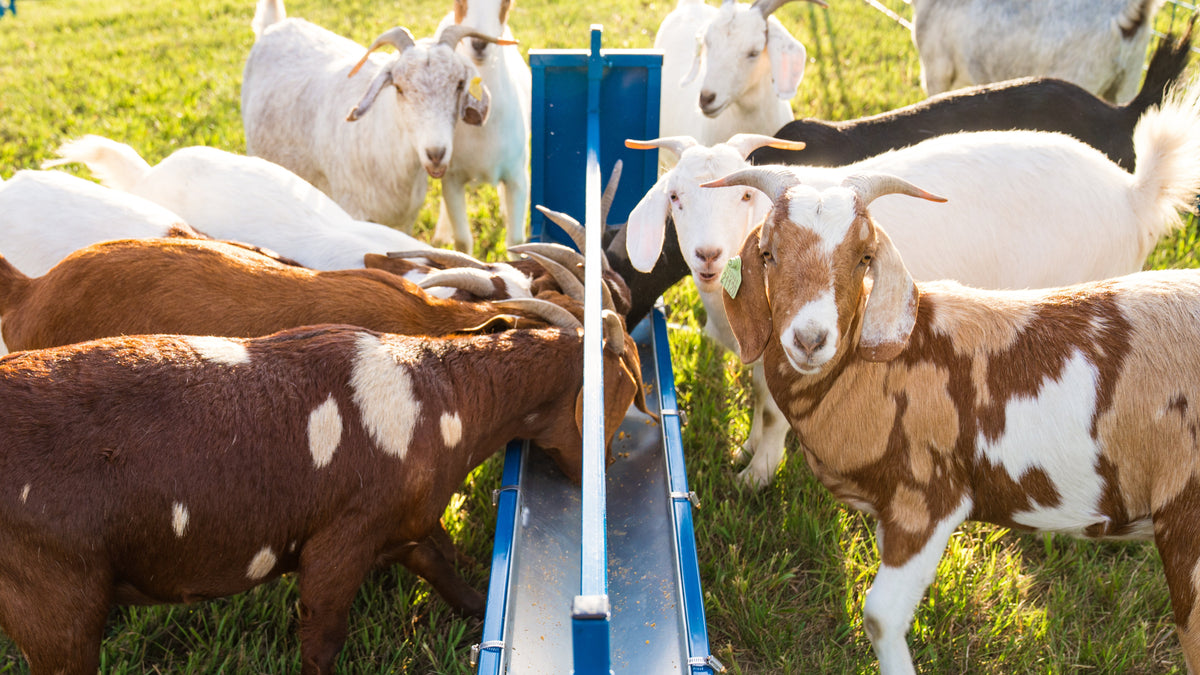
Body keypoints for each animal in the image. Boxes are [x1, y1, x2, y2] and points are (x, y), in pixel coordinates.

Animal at [0, 316, 643, 675]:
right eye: (623, 391)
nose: (607, 470)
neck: (442, 393)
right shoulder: (344, 537)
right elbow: (323, 639)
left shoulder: (400, 527)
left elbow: (443, 569)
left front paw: (476, 611)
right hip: (55, 603)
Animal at [243, 0, 510, 233]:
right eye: (399, 88)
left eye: (459, 84)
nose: (436, 154)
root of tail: (274, 26)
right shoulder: (353, 210)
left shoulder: (406, 220)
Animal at [431, 0, 532, 253]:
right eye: (459, 1)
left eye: (506, 3)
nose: (479, 44)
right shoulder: (452, 179)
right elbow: (462, 241)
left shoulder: (517, 177)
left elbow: (516, 240)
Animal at [625, 85, 1200, 485]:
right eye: (674, 197)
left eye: (743, 197)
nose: (708, 256)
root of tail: (1133, 193)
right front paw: (748, 452)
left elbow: (771, 409)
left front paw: (756, 474)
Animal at [708, 165, 1200, 674]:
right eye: (768, 253)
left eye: (865, 257)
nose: (809, 340)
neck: (873, 370)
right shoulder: (893, 512)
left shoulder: (929, 496)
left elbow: (880, 616)